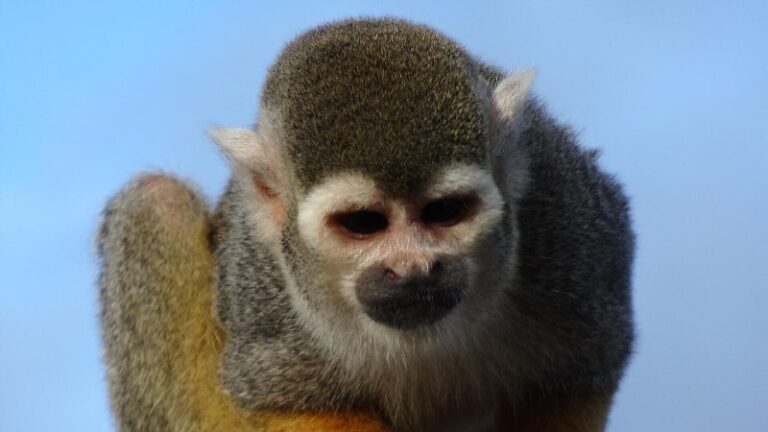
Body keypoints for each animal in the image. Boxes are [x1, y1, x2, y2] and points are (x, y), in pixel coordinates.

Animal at [98, 18, 633, 432]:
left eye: (444, 212)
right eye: (362, 223)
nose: (413, 267)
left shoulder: (572, 224)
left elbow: (583, 369)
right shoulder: (269, 292)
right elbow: (290, 397)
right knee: (156, 201)